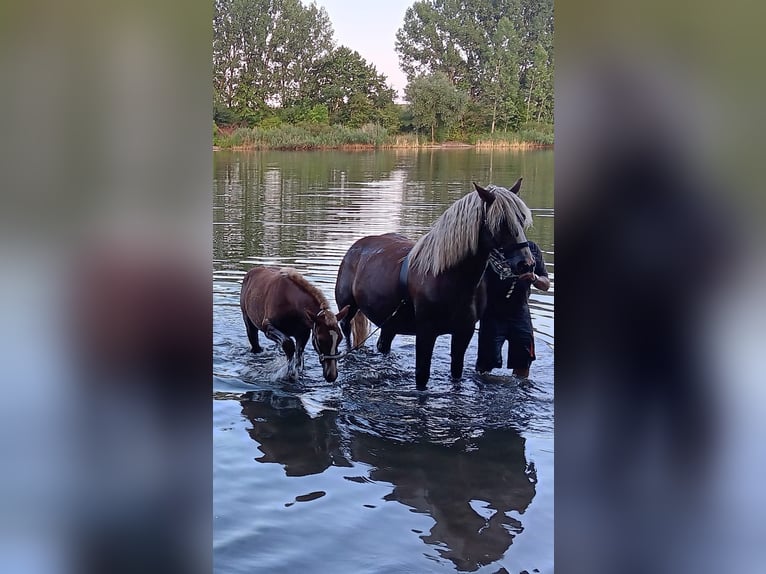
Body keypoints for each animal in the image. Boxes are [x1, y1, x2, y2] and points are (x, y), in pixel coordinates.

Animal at [335, 180, 534, 389]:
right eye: (501, 222)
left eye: (522, 219)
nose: (526, 264)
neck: (450, 278)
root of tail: (356, 246)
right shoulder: (426, 333)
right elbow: (422, 375)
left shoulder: (464, 332)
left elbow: (456, 372)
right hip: (348, 309)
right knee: (347, 331)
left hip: (390, 322)